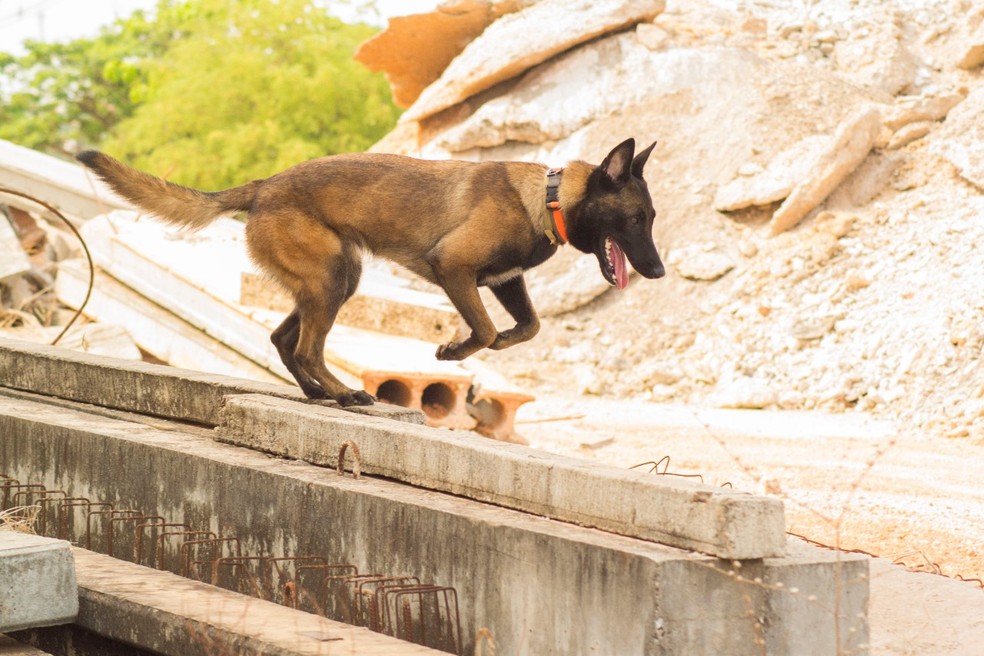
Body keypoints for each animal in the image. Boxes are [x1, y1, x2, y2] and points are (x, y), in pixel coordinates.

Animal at [75, 138, 660, 404]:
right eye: (634, 219)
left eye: (650, 219)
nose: (656, 272)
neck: (547, 197)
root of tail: (262, 187)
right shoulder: (454, 268)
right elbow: (487, 327)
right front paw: (454, 351)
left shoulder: (503, 280)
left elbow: (525, 327)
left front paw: (480, 346)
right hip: (333, 277)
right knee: (307, 347)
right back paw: (342, 392)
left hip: (332, 280)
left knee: (284, 339)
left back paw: (319, 392)